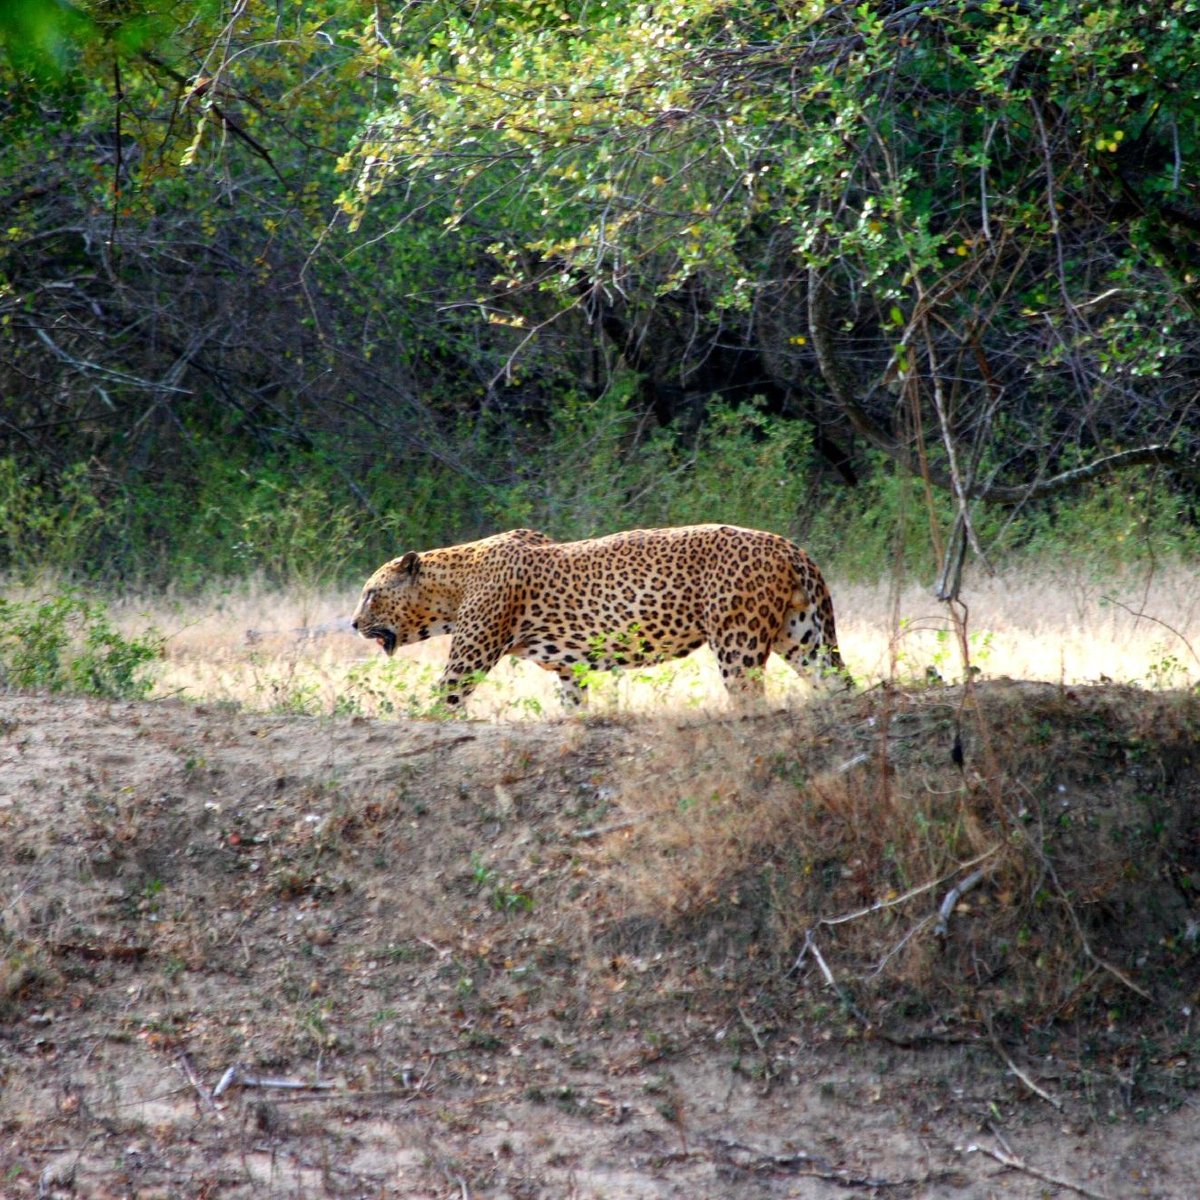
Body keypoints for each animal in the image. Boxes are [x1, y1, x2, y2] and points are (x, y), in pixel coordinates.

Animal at [350, 523, 849, 700]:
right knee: (839, 684)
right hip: (804, 639)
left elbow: (436, 704)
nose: (353, 623)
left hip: (737, 642)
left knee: (748, 697)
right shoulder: (571, 671)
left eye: (371, 593)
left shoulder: (466, 662)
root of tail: (790, 546)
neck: (453, 584)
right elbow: (574, 705)